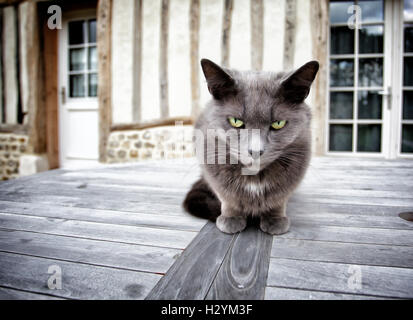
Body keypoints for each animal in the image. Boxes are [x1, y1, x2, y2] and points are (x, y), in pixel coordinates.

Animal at [183, 58, 318, 235]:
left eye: (278, 124)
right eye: (236, 121)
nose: (255, 151)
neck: (254, 177)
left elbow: (279, 199)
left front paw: (275, 220)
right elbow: (228, 198)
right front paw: (231, 219)